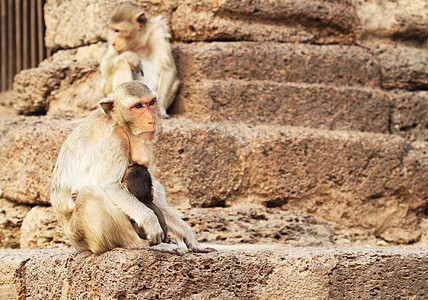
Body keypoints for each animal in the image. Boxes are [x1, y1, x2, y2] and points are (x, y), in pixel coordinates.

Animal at [50, 81, 214, 254]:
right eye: (138, 106)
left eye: (151, 103)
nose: (151, 120)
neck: (119, 122)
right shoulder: (115, 139)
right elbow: (109, 186)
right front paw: (151, 222)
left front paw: (190, 235)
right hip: (81, 235)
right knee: (90, 192)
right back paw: (141, 244)